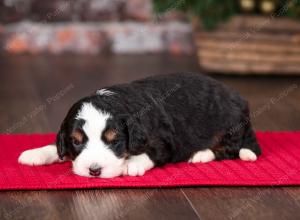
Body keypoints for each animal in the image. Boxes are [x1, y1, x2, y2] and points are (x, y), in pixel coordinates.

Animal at [18, 73, 260, 178]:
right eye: (76, 142)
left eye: (115, 140)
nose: (94, 170)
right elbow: (57, 147)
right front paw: (36, 153)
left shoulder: (165, 139)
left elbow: (151, 152)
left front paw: (132, 164)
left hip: (230, 125)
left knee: (230, 149)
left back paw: (201, 154)